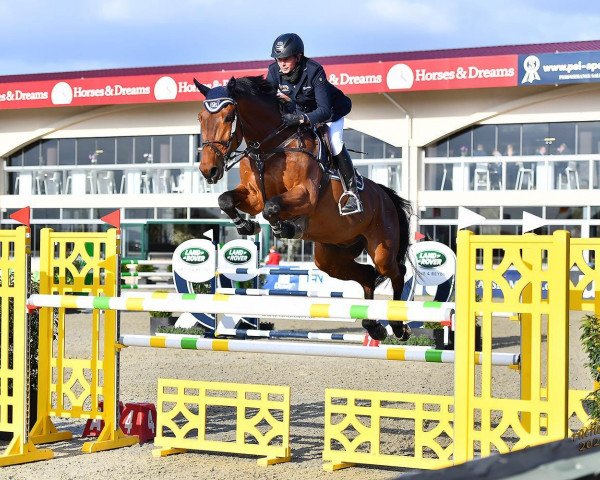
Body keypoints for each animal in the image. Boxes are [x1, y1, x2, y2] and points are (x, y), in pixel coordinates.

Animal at [195, 76, 414, 342]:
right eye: (200, 118)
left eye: (228, 117)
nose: (209, 170)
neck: (270, 147)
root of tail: (385, 195)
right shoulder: (253, 196)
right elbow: (226, 200)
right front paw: (246, 225)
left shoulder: (305, 195)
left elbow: (271, 207)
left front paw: (285, 227)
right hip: (331, 254)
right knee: (368, 275)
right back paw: (374, 326)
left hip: (381, 246)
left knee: (396, 271)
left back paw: (399, 327)